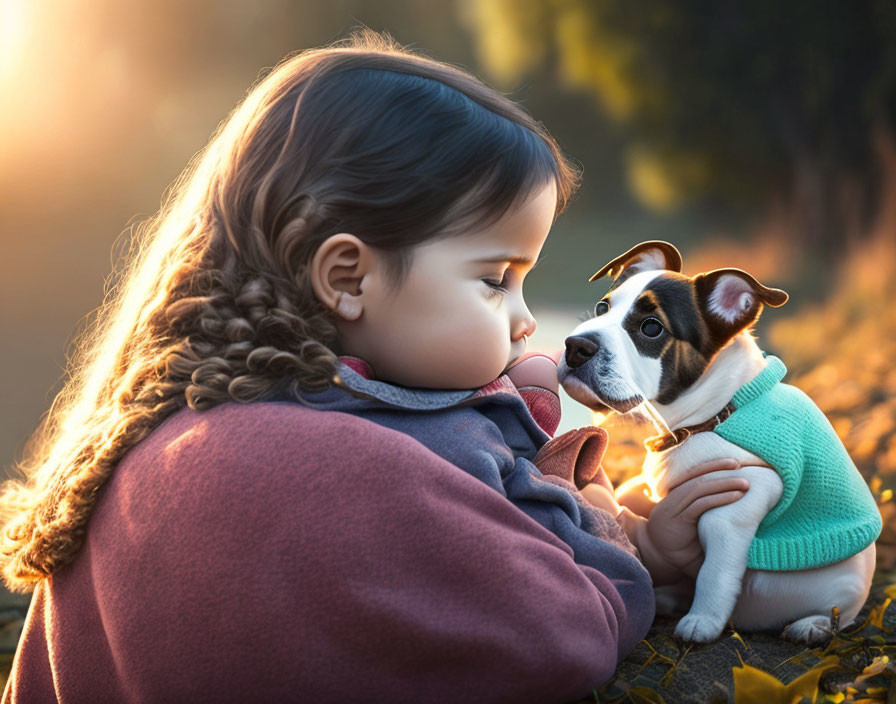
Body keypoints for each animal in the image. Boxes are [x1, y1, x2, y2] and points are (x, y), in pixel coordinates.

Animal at [560, 241, 880, 644]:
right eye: (603, 308)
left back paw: (813, 625)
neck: (713, 415)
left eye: (651, 328)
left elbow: (715, 571)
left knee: (840, 614)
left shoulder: (739, 500)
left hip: (843, 593)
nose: (576, 346)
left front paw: (702, 621)